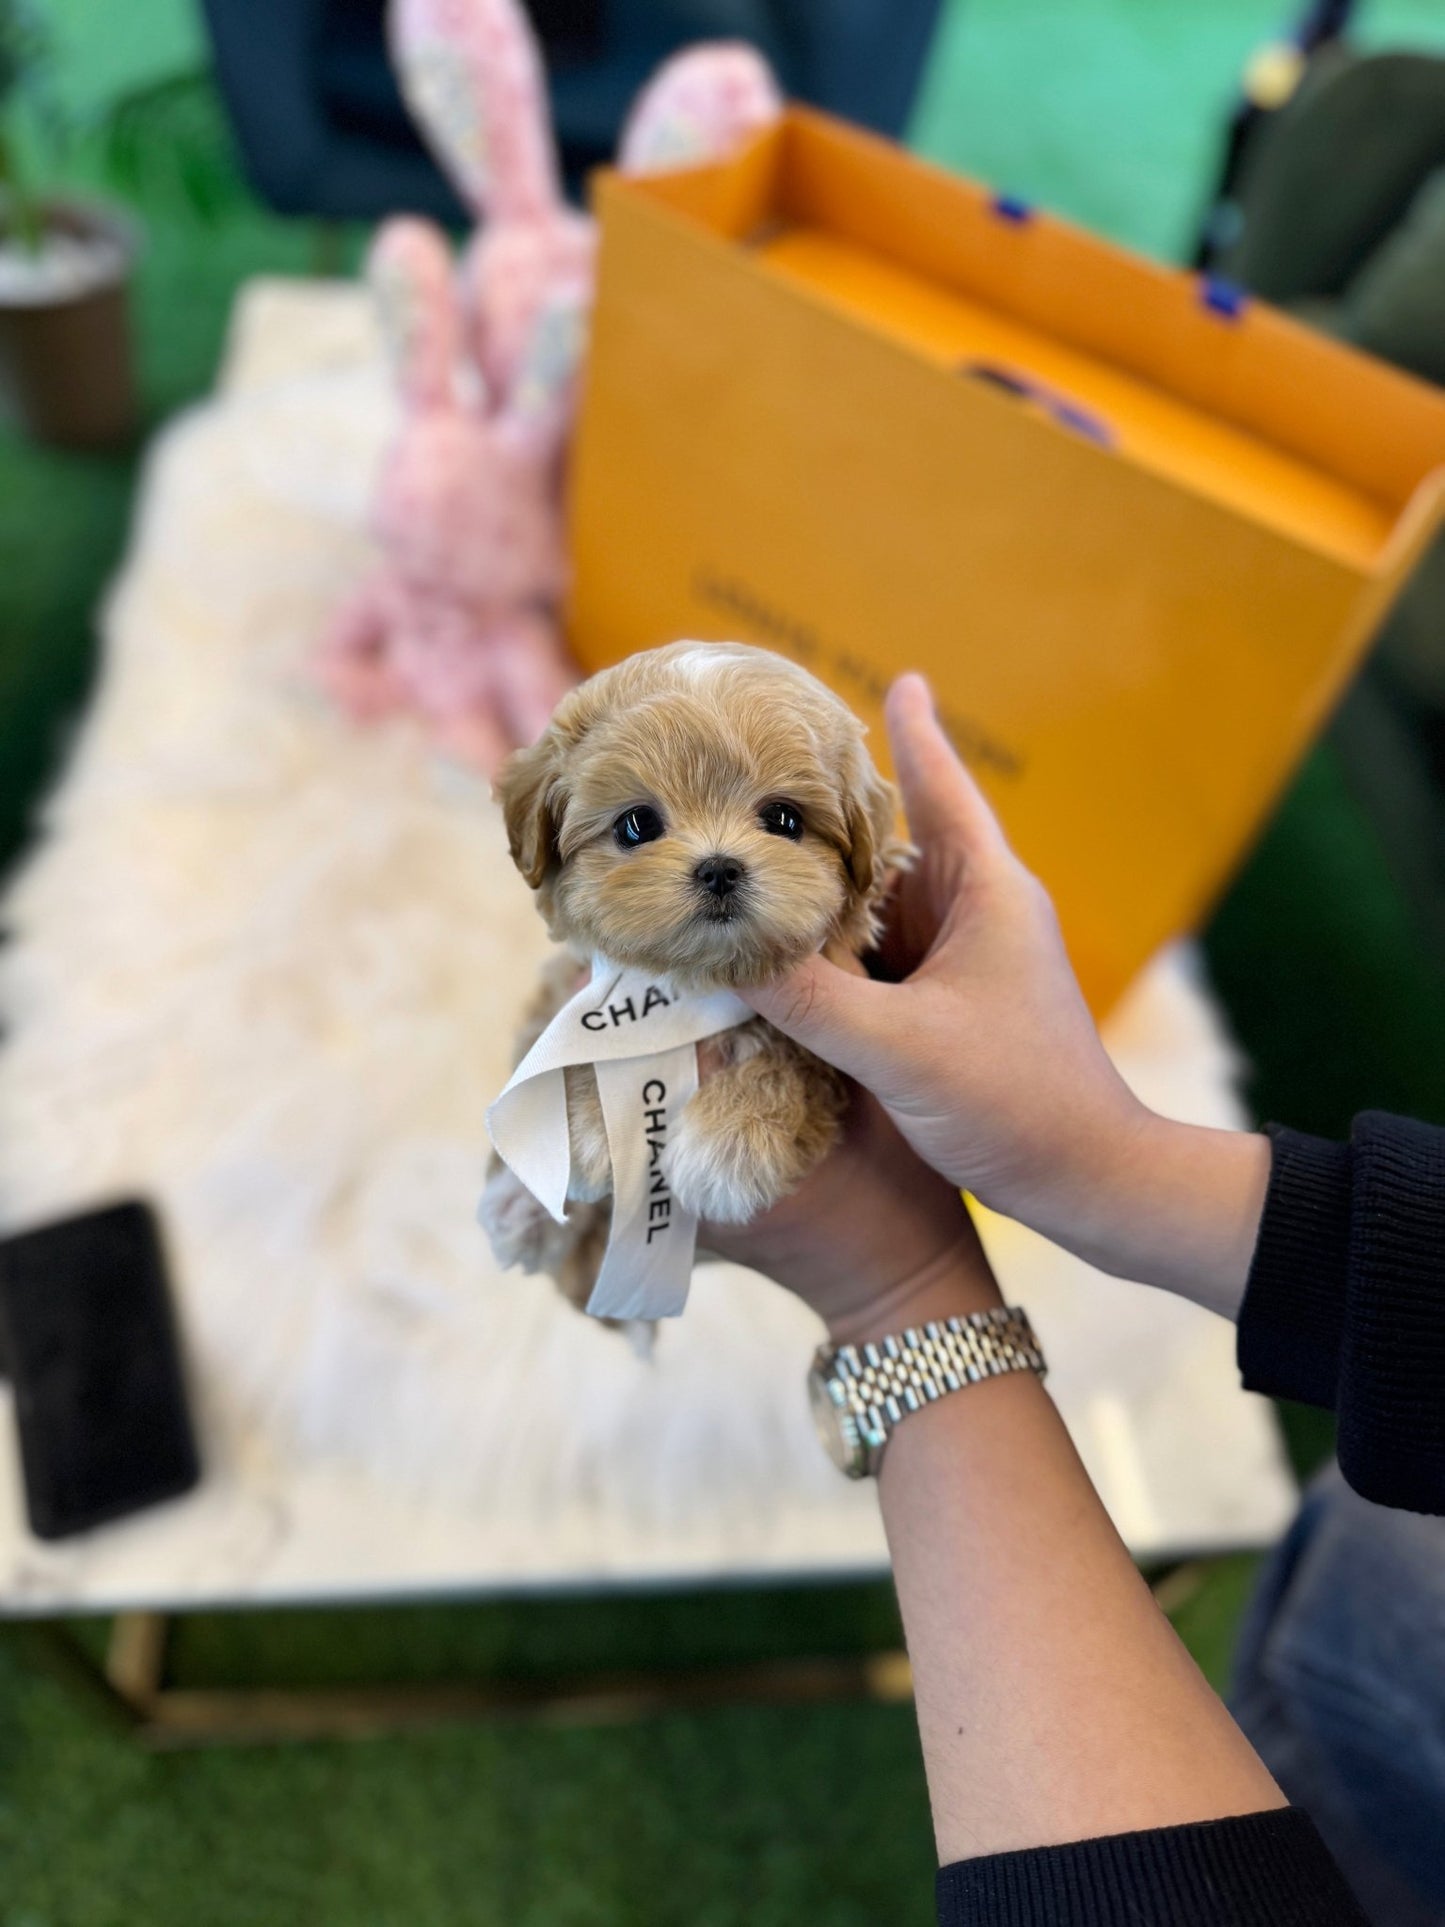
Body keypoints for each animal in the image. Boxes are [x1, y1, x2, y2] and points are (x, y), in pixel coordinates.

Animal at [481, 643, 905, 1310]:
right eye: (636, 824)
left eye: (784, 819)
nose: (719, 868)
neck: (691, 984)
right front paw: (580, 1129)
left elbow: (794, 1054)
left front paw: (732, 1142)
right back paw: (521, 1216)